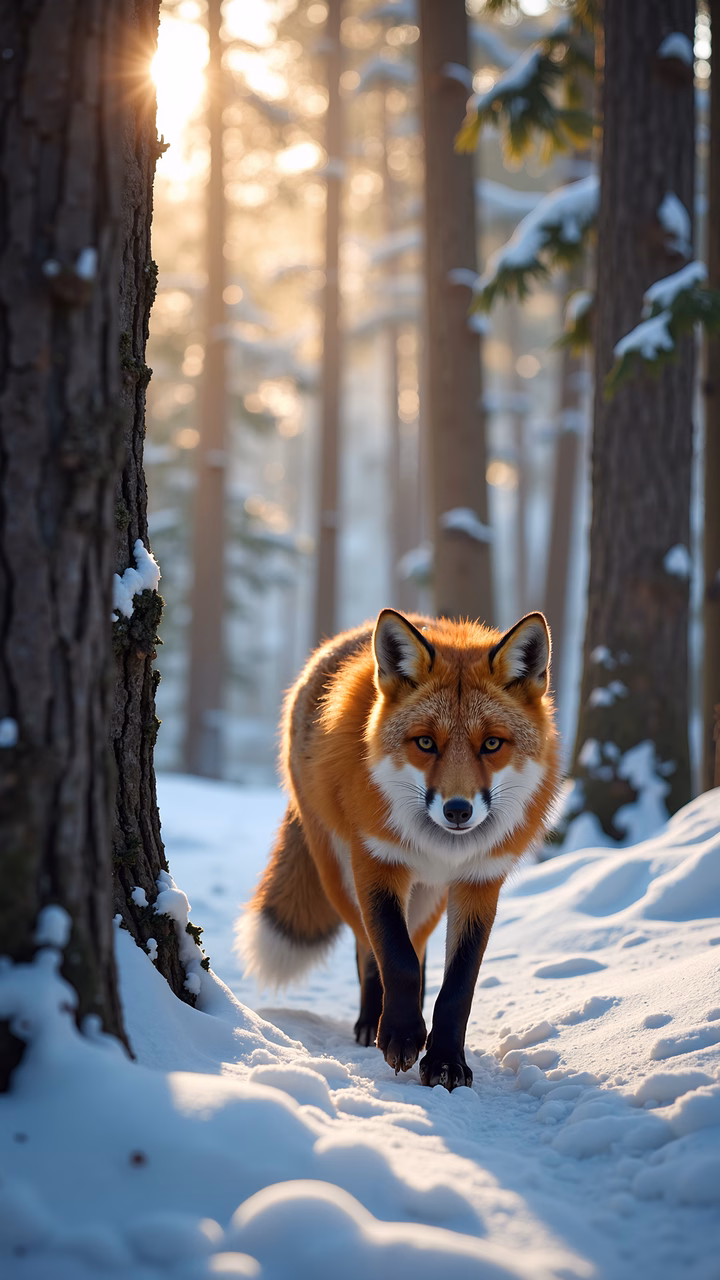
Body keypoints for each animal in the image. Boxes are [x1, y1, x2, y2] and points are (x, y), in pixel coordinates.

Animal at [236, 608, 561, 1091]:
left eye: (491, 744)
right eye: (425, 742)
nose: (458, 810)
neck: (440, 847)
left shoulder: (480, 881)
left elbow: (457, 986)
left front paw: (445, 1060)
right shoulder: (377, 862)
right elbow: (395, 959)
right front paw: (402, 1035)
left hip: (429, 896)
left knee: (419, 946)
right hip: (339, 874)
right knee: (368, 948)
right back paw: (373, 1022)